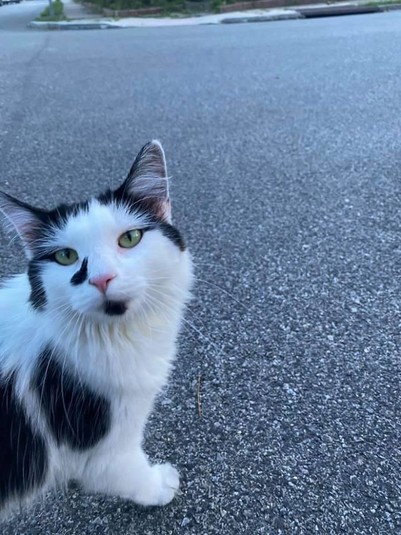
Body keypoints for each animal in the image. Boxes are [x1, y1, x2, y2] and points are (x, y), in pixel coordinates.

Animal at [0, 140, 193, 516]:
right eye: (66, 257)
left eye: (130, 238)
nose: (101, 279)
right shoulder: (103, 448)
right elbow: (130, 473)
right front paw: (161, 485)